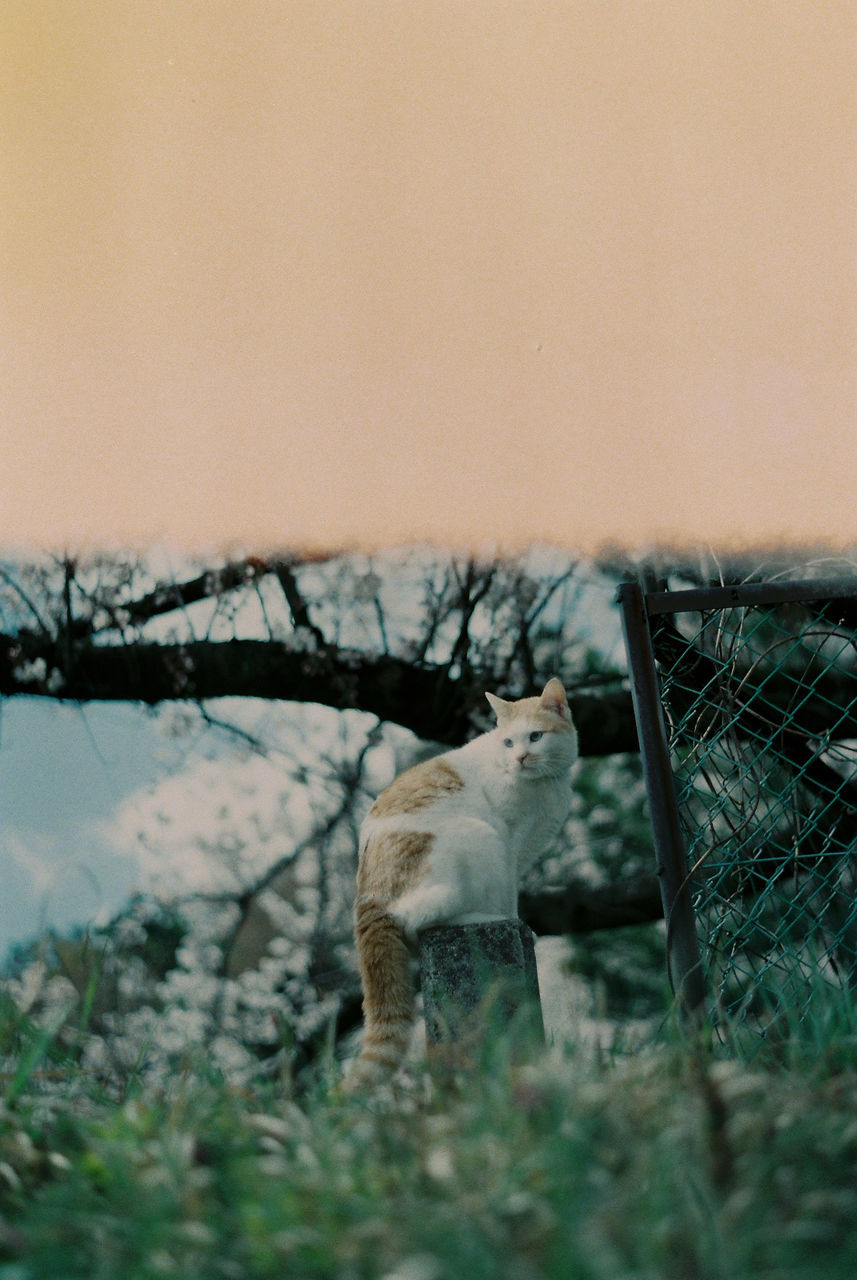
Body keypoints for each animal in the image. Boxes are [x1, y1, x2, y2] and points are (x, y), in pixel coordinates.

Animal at [345, 675, 580, 1085]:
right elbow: (510, 896)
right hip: (478, 834)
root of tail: (368, 897)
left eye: (535, 737)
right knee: (418, 920)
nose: (520, 758)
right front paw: (517, 924)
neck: (543, 784)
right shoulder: (508, 843)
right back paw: (480, 918)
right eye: (508, 742)